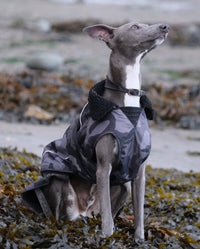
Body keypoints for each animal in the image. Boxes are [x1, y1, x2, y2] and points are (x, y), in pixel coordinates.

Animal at [21, 21, 169, 241]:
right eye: (135, 26)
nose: (165, 26)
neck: (128, 100)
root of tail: (82, 213)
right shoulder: (103, 167)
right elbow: (107, 214)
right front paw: (107, 236)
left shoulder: (139, 170)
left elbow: (139, 212)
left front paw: (140, 239)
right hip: (58, 180)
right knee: (57, 212)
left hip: (123, 187)